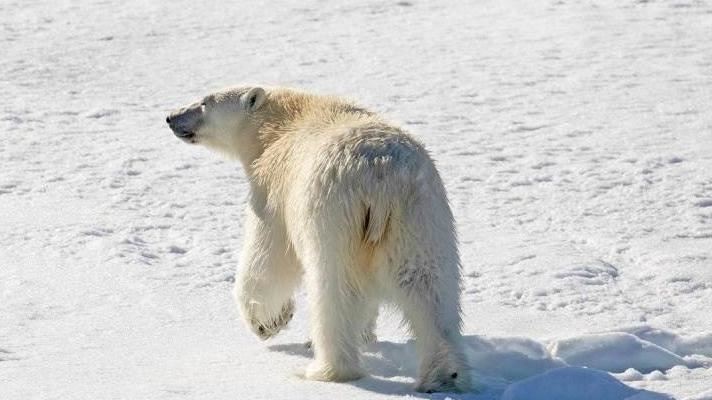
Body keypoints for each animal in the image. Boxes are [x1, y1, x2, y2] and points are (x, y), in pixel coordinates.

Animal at [166, 86, 471, 393]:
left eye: (204, 103)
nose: (170, 117)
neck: (280, 124)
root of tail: (381, 175)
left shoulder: (273, 191)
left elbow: (267, 258)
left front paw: (269, 322)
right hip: (419, 217)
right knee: (428, 286)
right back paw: (444, 375)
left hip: (334, 215)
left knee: (335, 290)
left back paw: (327, 368)